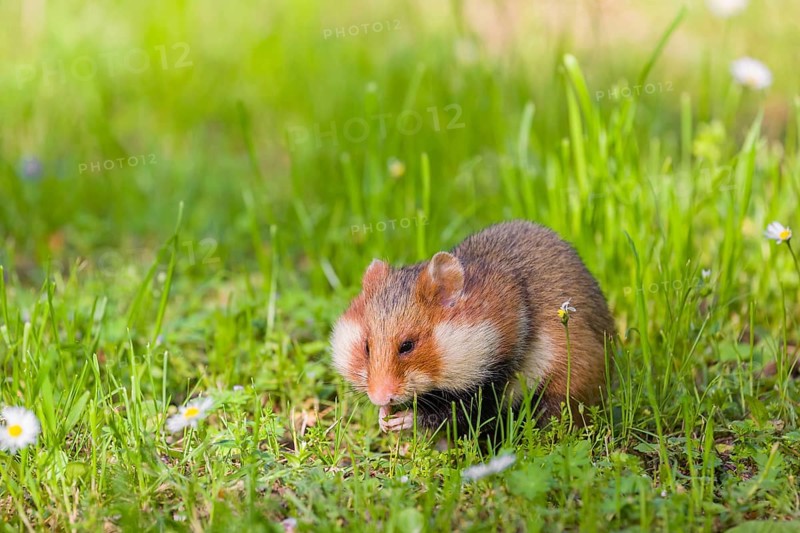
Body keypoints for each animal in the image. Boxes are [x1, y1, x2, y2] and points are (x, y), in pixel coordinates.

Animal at [331, 220, 614, 433]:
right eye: (366, 347)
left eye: (407, 346)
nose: (379, 397)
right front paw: (384, 418)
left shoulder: (495, 383)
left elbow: (454, 410)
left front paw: (401, 420)